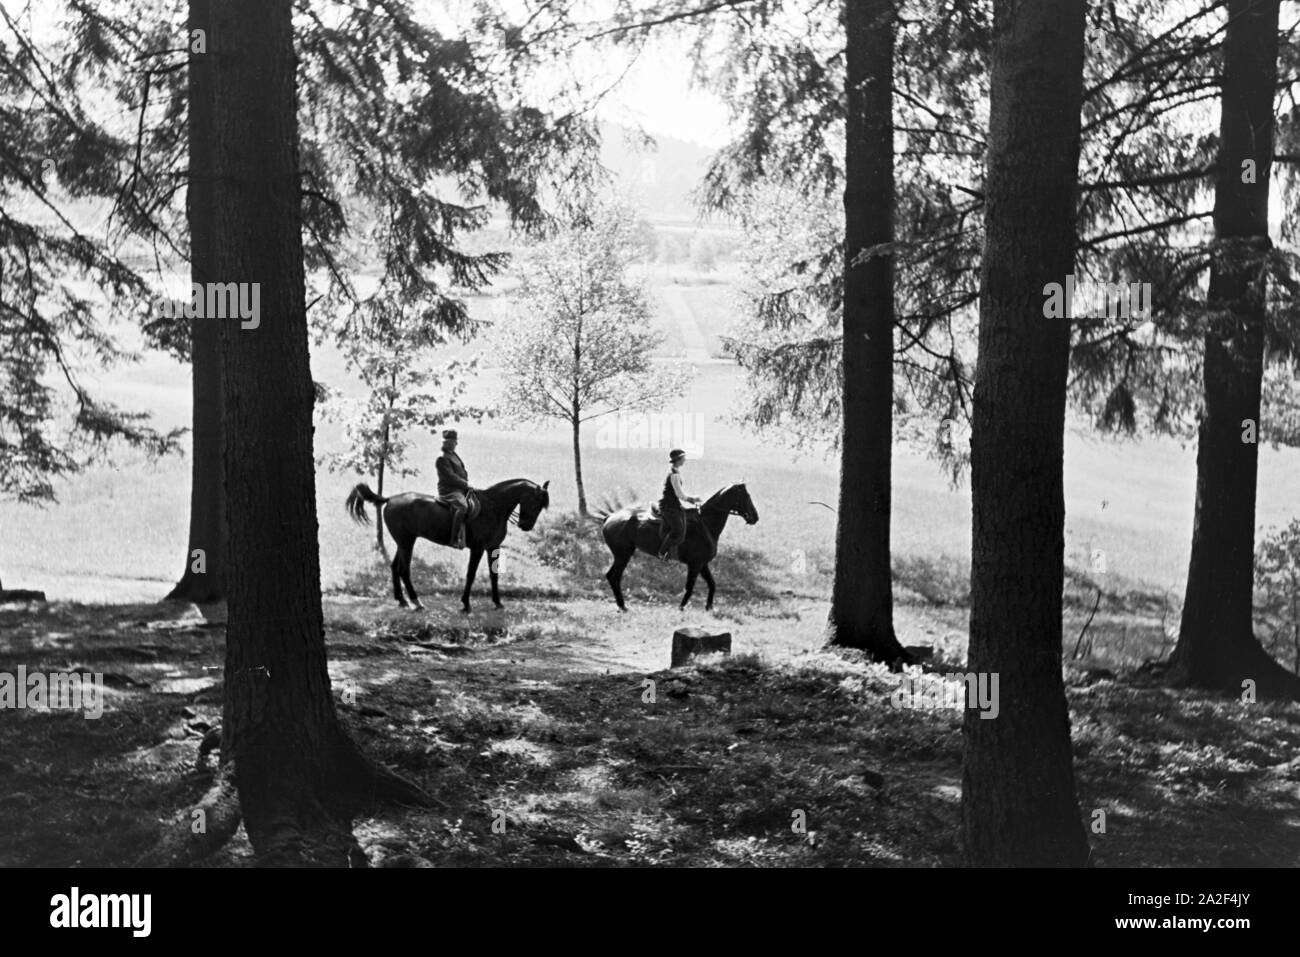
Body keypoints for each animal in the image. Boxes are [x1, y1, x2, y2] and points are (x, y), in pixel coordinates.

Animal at [345, 478, 548, 613]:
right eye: (536, 503)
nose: (526, 526)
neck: (494, 508)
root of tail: (390, 499)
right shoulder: (478, 549)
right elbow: (471, 575)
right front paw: (466, 604)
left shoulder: (493, 547)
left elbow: (494, 576)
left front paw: (497, 602)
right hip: (407, 542)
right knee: (404, 570)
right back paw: (416, 602)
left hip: (402, 542)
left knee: (395, 566)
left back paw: (402, 600)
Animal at [600, 486, 759, 613]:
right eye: (746, 496)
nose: (755, 517)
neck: (706, 524)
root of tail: (610, 517)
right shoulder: (695, 565)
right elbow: (689, 587)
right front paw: (681, 608)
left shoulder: (703, 565)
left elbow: (712, 584)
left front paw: (709, 607)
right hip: (623, 555)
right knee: (614, 577)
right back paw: (622, 606)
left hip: (622, 555)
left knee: (611, 576)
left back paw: (621, 605)